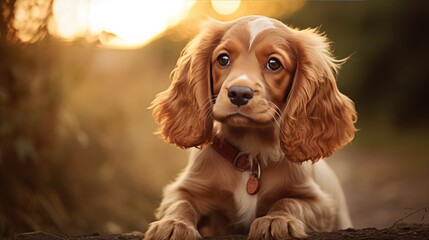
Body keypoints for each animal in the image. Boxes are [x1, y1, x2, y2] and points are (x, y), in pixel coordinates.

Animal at [145, 15, 356, 239]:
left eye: (274, 63)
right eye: (223, 59)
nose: (239, 93)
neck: (251, 155)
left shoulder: (320, 203)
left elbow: (289, 201)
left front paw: (276, 221)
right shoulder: (186, 188)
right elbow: (181, 203)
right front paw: (173, 224)